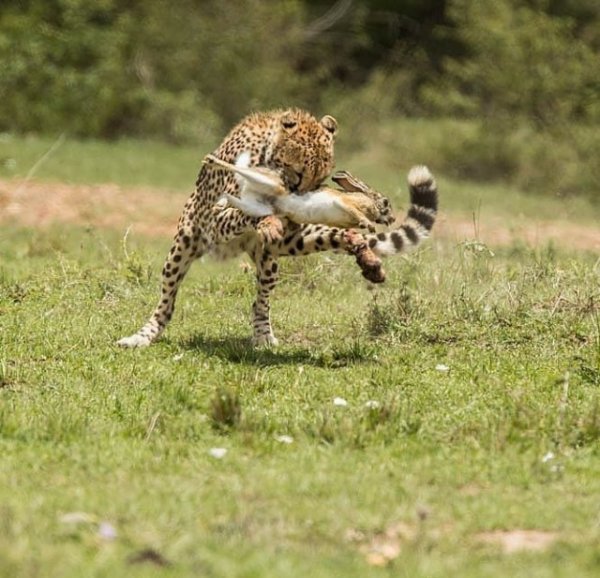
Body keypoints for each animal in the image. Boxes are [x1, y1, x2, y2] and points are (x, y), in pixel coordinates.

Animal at [117, 108, 436, 346]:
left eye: (321, 177)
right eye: (299, 170)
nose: (300, 198)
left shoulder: (290, 230)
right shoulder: (215, 217)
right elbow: (244, 213)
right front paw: (267, 218)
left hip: (274, 259)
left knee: (261, 302)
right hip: (183, 247)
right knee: (167, 300)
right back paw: (143, 335)